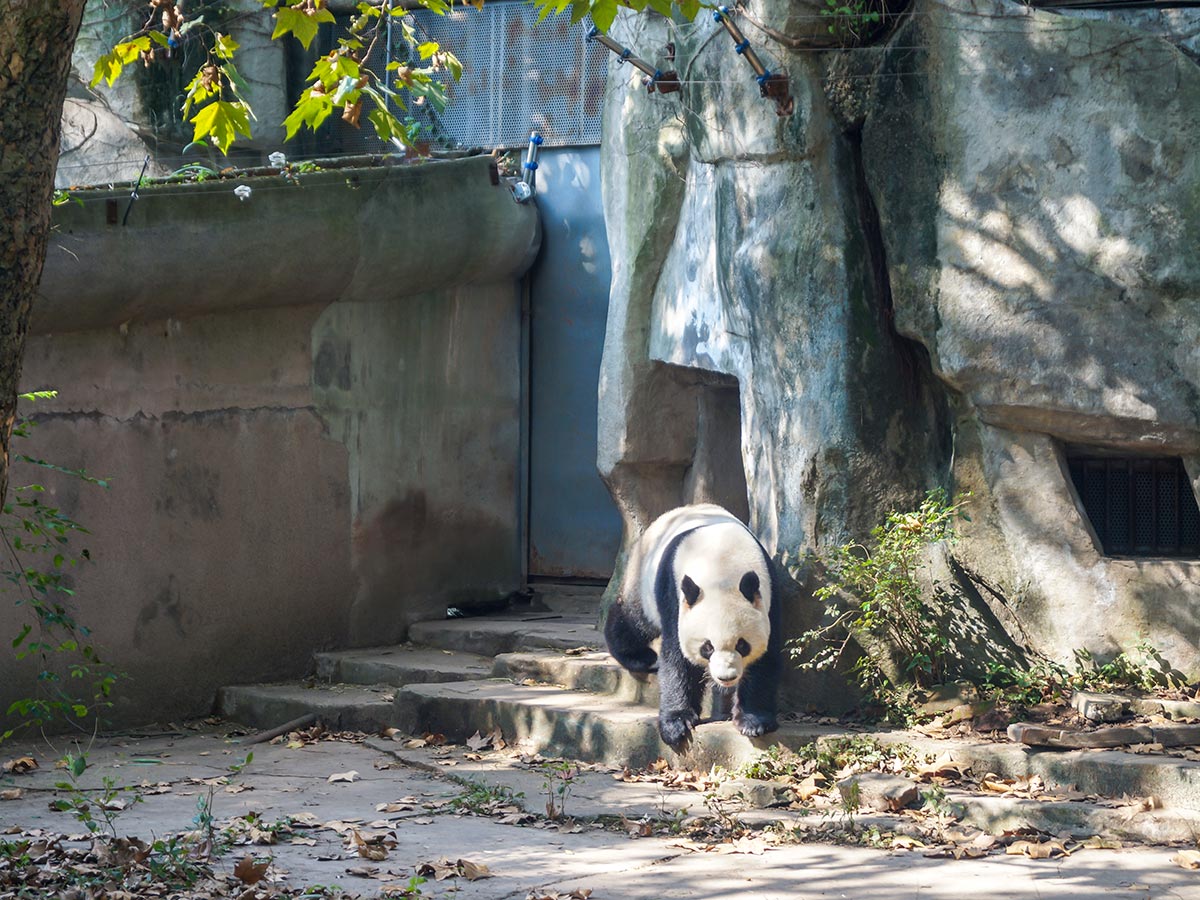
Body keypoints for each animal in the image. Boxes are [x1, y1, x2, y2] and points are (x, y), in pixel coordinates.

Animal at [604, 508, 782, 753]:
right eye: (707, 647)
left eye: (742, 645)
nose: (727, 677)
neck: (721, 564)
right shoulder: (674, 594)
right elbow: (676, 657)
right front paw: (676, 725)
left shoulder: (769, 595)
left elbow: (766, 656)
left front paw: (754, 721)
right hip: (642, 575)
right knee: (634, 619)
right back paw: (639, 656)